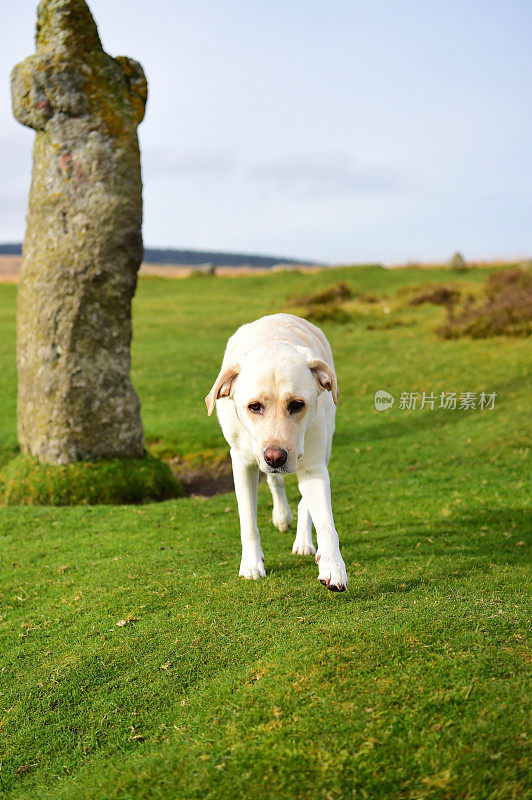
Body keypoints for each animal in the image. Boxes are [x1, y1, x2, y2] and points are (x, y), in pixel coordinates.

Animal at [205, 312, 350, 592]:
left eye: (297, 404)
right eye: (254, 406)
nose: (276, 457)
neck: (273, 341)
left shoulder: (314, 465)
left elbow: (326, 523)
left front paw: (333, 567)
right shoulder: (242, 462)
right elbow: (248, 520)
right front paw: (251, 564)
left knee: (304, 500)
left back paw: (304, 541)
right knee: (274, 481)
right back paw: (281, 515)